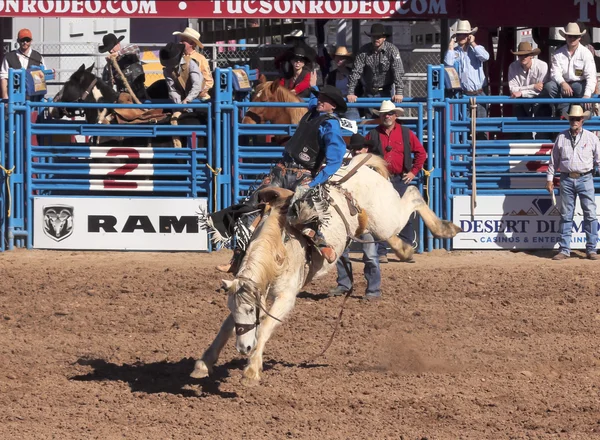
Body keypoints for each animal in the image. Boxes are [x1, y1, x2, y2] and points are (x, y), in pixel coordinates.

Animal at [192, 155, 460, 384]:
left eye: (250, 310)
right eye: (236, 308)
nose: (243, 349)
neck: (279, 247)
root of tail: (359, 167)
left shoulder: (286, 296)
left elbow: (266, 325)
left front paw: (251, 369)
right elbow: (226, 327)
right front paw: (204, 363)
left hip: (387, 216)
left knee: (413, 194)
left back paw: (445, 228)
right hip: (376, 223)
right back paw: (405, 249)